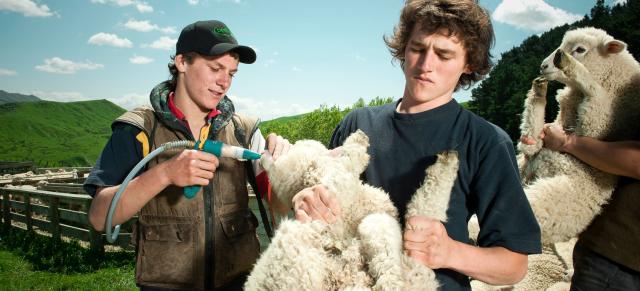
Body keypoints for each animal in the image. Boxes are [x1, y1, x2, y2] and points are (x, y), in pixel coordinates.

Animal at [242, 131, 458, 291]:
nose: (269, 146)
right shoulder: (334, 191)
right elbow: (348, 164)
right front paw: (357, 142)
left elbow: (425, 206)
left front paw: (447, 162)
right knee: (389, 278)